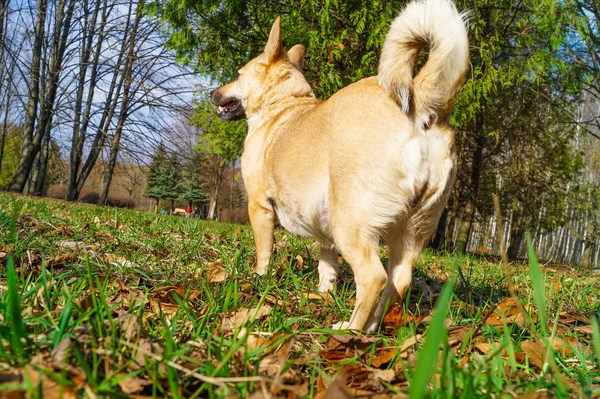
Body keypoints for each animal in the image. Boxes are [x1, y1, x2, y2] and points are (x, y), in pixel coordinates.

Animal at [211, 0, 468, 332]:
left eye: (238, 74)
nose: (213, 92)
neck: (284, 103)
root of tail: (419, 102)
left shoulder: (259, 206)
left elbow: (264, 251)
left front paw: (259, 279)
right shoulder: (325, 231)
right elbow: (327, 265)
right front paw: (323, 293)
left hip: (350, 223)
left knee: (373, 278)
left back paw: (350, 328)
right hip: (411, 231)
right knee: (397, 281)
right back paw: (370, 327)